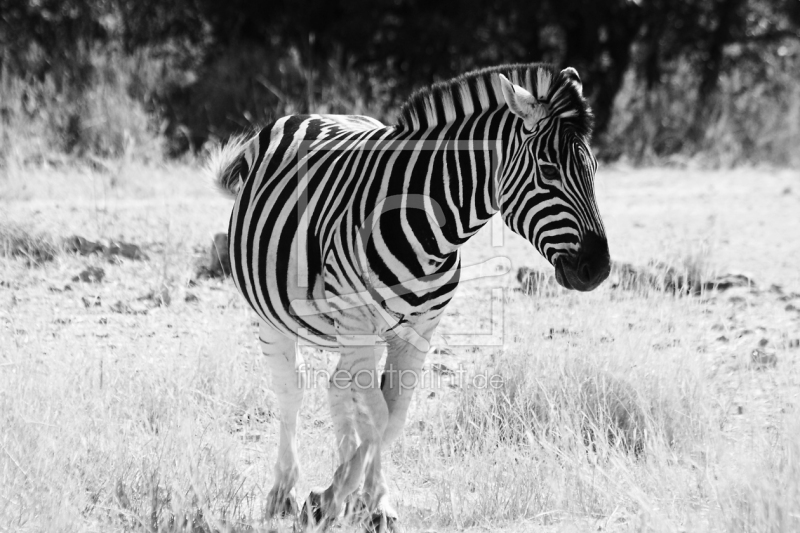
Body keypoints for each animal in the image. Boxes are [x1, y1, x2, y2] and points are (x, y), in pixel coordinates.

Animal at [209, 62, 608, 528]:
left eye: (593, 169)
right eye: (548, 170)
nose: (599, 268)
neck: (430, 225)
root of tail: (309, 114)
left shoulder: (419, 329)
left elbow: (392, 416)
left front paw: (366, 502)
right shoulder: (359, 322)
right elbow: (379, 415)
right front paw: (330, 499)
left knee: (338, 386)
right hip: (276, 317)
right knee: (291, 391)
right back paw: (283, 493)